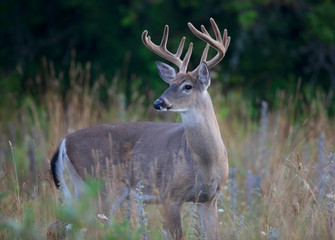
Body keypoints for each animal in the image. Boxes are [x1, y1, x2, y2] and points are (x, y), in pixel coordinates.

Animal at [51, 17, 231, 239]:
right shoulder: (169, 195)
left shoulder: (209, 199)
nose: (158, 102)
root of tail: (64, 142)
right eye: (170, 83)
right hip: (103, 186)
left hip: (83, 188)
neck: (204, 161)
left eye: (187, 86)